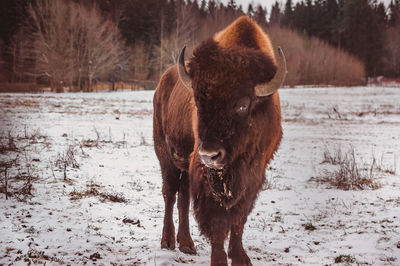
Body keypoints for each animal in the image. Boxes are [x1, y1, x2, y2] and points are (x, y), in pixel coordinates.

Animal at [152, 15, 286, 264]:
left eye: (243, 105)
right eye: (197, 103)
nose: (210, 155)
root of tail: (162, 83)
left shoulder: (254, 175)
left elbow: (238, 218)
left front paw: (240, 257)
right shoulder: (205, 175)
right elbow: (218, 221)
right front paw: (220, 259)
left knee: (183, 197)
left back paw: (187, 244)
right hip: (165, 155)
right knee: (170, 194)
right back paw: (168, 241)